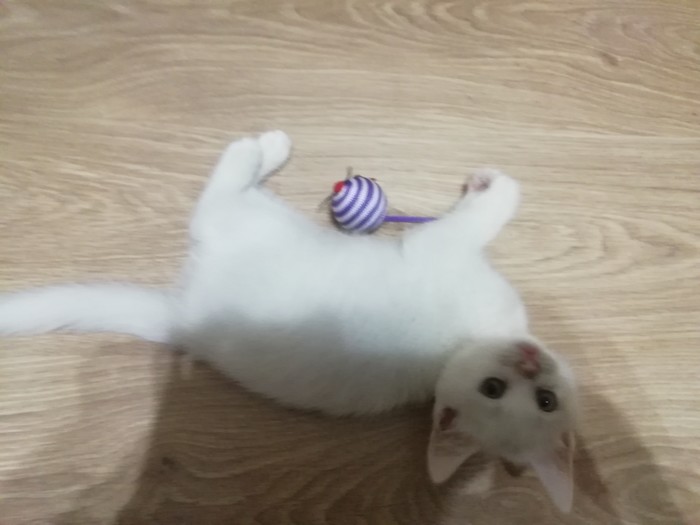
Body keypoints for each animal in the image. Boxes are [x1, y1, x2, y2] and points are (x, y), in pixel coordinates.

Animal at [0, 131, 578, 512]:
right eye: (502, 389)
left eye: (540, 401)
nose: (531, 362)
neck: (465, 343)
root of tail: (186, 320)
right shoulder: (442, 247)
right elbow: (487, 213)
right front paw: (491, 187)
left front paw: (492, 187)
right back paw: (263, 148)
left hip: (251, 226)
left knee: (217, 200)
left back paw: (260, 147)